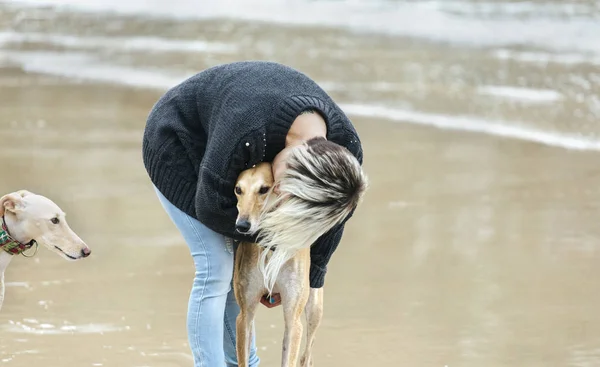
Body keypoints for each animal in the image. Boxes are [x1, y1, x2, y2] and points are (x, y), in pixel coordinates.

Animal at [232, 164, 324, 367]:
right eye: (238, 189)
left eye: (264, 189)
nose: (242, 225)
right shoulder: (244, 316)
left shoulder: (293, 322)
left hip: (314, 308)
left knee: (306, 356)